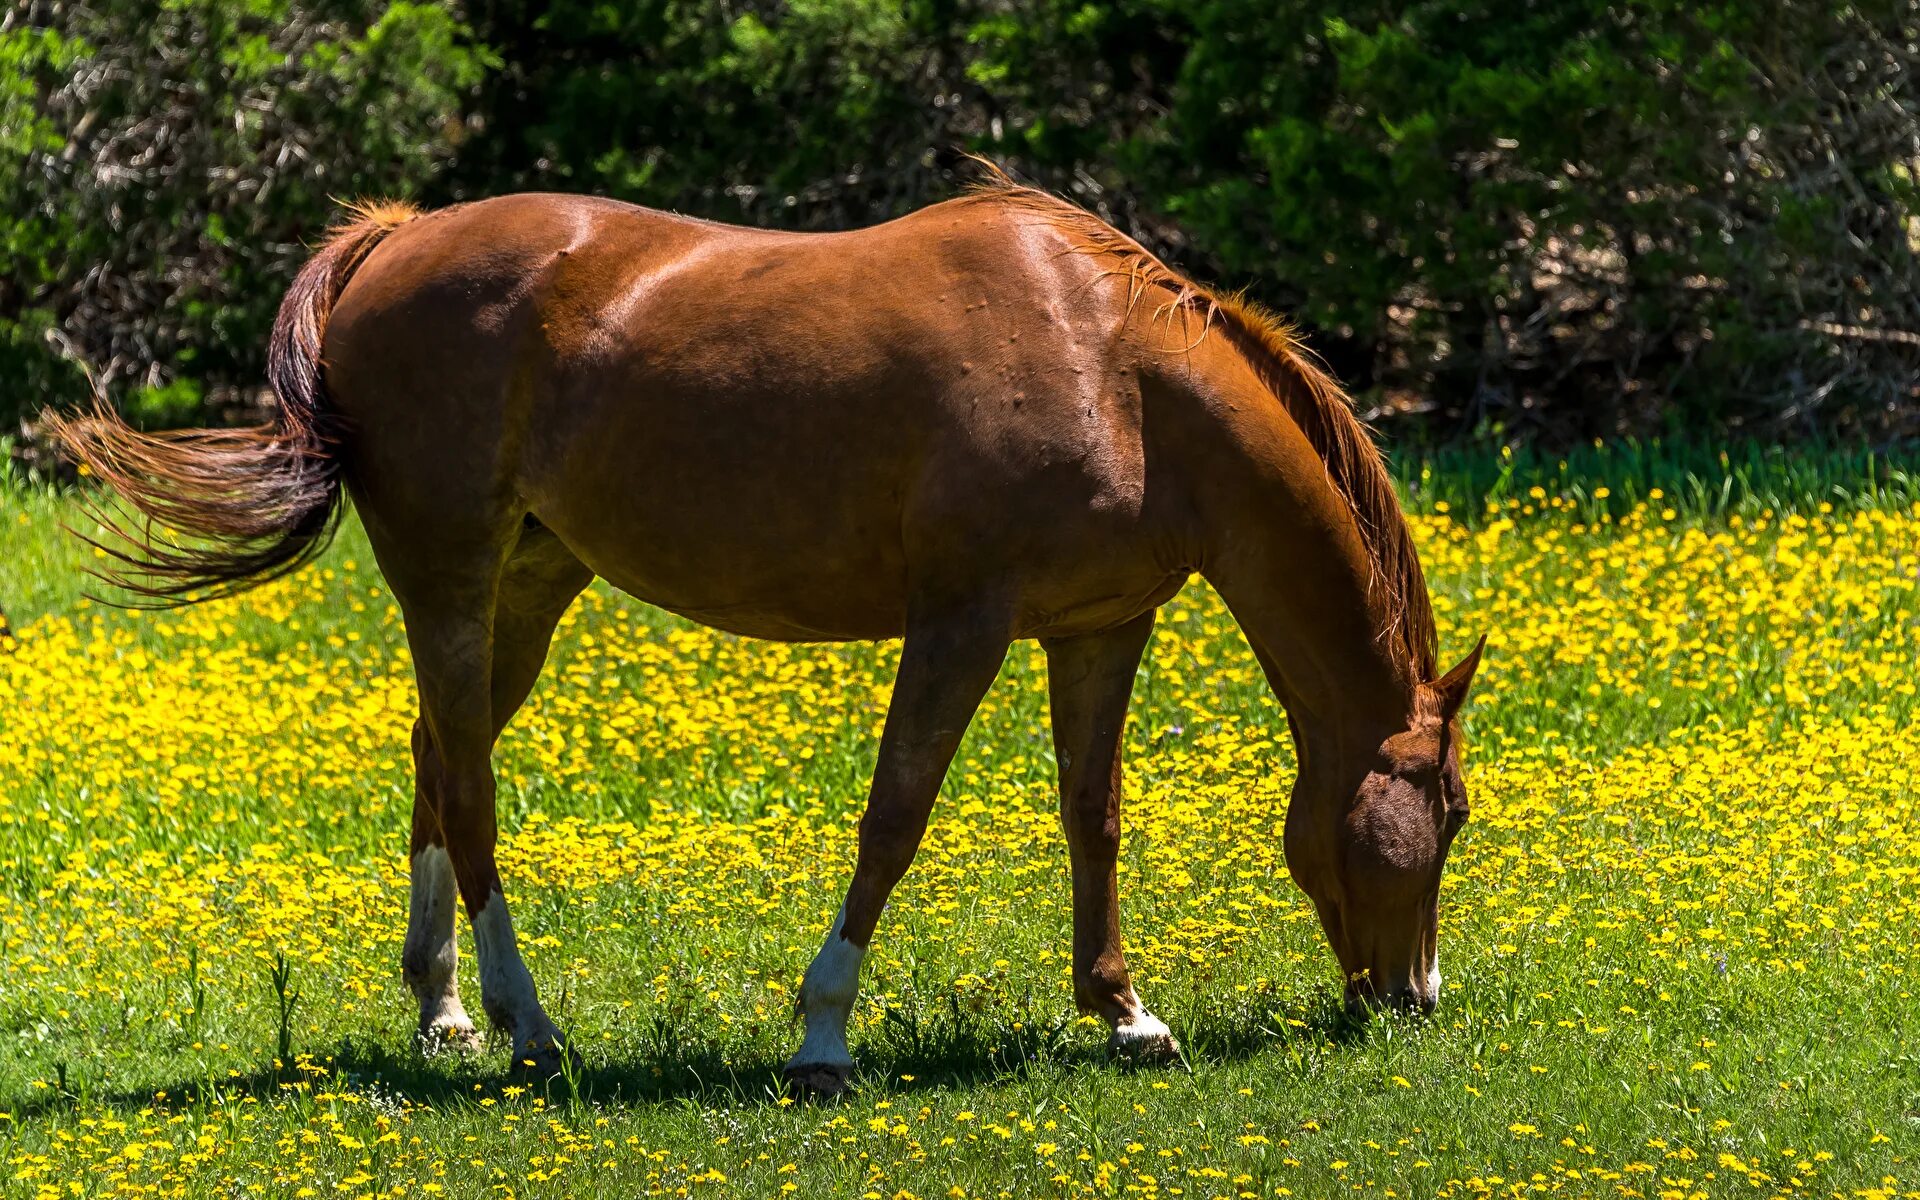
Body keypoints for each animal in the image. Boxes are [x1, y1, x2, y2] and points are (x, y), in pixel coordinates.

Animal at [48, 170, 1482, 1098]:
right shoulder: (960, 624)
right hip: (449, 581)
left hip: (532, 583)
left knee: (433, 762)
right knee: (470, 790)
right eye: (1453, 813)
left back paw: (445, 1009)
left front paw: (1125, 1013)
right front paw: (824, 1034)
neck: (1117, 367)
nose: (1416, 1001)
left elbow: (1095, 817)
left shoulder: (1099, 627)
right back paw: (529, 1026)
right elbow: (895, 816)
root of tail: (393, 245)